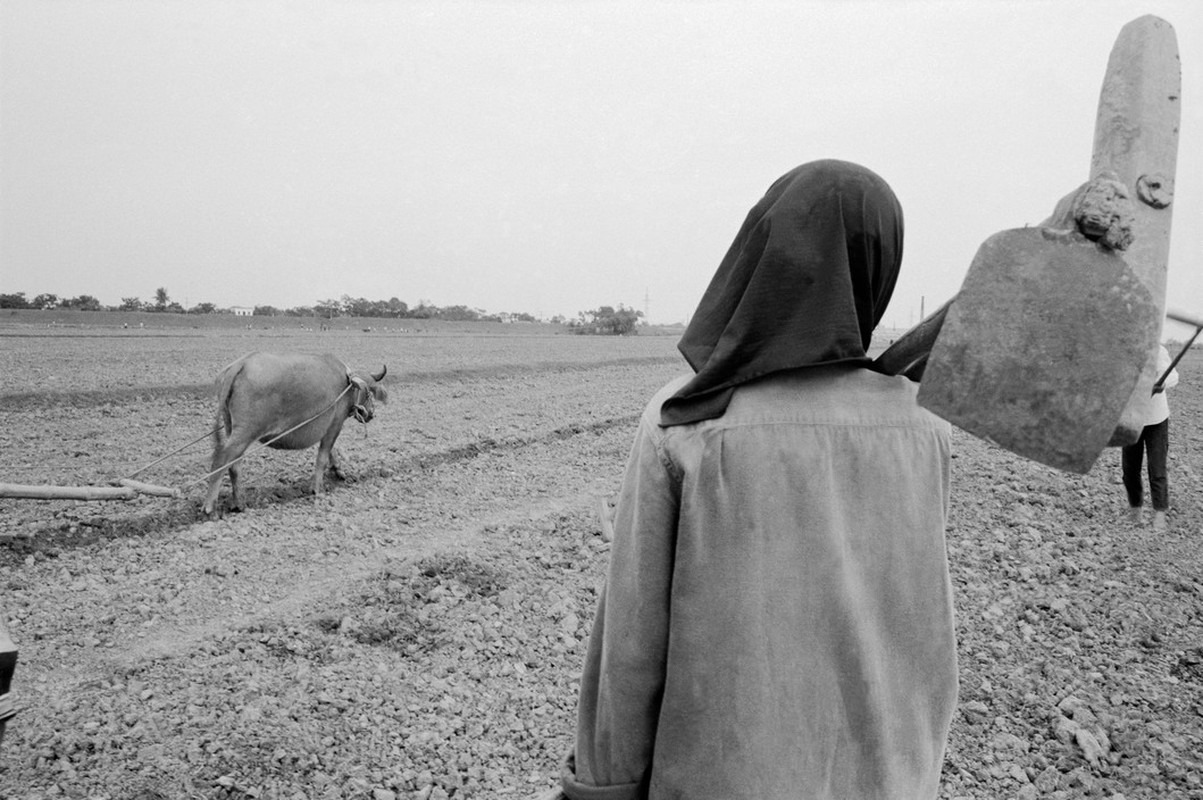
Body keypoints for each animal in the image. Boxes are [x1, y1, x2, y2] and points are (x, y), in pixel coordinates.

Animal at [204, 353, 387, 514]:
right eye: (370, 391)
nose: (371, 414)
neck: (347, 384)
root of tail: (241, 364)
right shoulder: (335, 425)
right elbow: (322, 457)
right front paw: (317, 489)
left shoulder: (329, 427)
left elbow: (332, 451)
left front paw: (338, 470)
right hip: (245, 433)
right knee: (221, 461)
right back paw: (210, 507)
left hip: (232, 428)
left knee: (234, 466)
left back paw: (239, 503)